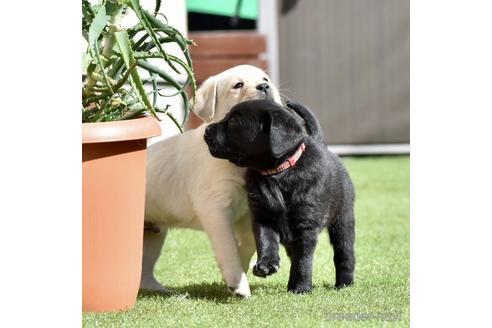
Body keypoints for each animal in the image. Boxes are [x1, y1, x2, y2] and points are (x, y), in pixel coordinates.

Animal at [141, 65, 280, 296]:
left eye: (265, 79)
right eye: (238, 85)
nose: (264, 86)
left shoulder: (247, 209)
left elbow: (248, 243)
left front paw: (236, 273)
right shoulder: (214, 207)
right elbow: (228, 247)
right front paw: (238, 283)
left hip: (153, 233)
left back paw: (163, 291)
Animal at [202, 99, 356, 292]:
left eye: (233, 121)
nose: (206, 130)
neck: (278, 175)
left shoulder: (306, 225)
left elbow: (303, 260)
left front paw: (300, 287)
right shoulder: (263, 216)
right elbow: (266, 241)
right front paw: (266, 264)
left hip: (343, 219)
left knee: (344, 252)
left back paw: (344, 283)